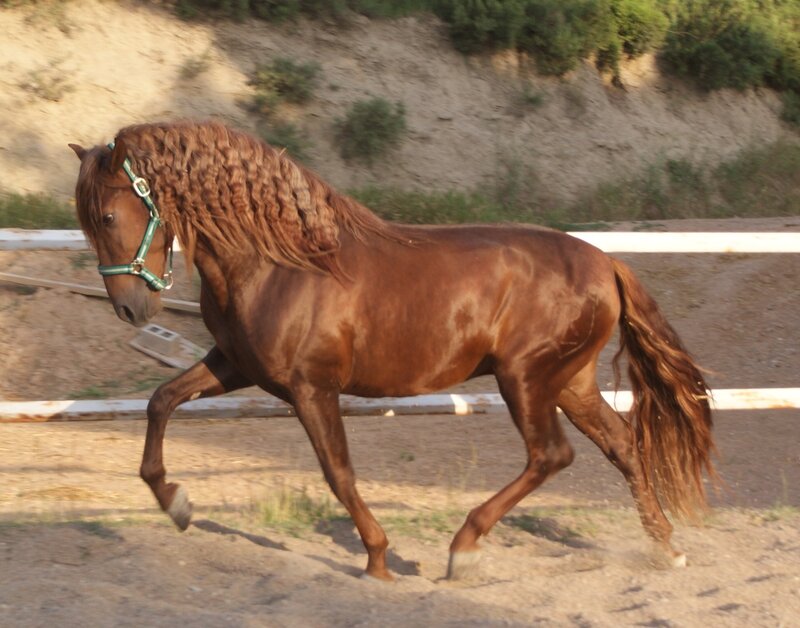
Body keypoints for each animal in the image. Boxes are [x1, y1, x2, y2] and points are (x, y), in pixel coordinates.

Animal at [69, 120, 715, 581]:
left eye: (108, 214)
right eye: (88, 221)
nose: (130, 309)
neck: (278, 262)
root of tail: (606, 263)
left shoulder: (311, 388)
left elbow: (339, 472)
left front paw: (379, 560)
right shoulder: (236, 367)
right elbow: (161, 400)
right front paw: (176, 504)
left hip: (527, 379)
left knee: (551, 455)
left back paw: (463, 550)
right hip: (570, 382)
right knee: (622, 445)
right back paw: (668, 550)